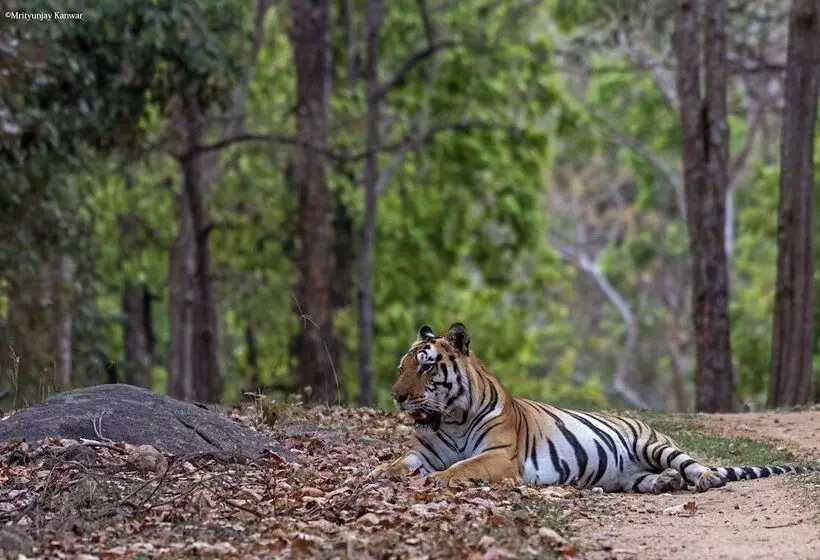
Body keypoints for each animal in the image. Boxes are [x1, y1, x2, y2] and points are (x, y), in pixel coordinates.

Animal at [370, 322, 820, 493]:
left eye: (427, 366)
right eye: (402, 366)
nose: (396, 395)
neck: (451, 419)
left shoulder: (499, 457)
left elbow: (461, 468)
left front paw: (438, 480)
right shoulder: (424, 453)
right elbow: (398, 463)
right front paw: (374, 476)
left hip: (655, 445)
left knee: (693, 464)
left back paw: (705, 478)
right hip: (624, 477)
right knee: (649, 480)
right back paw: (664, 484)